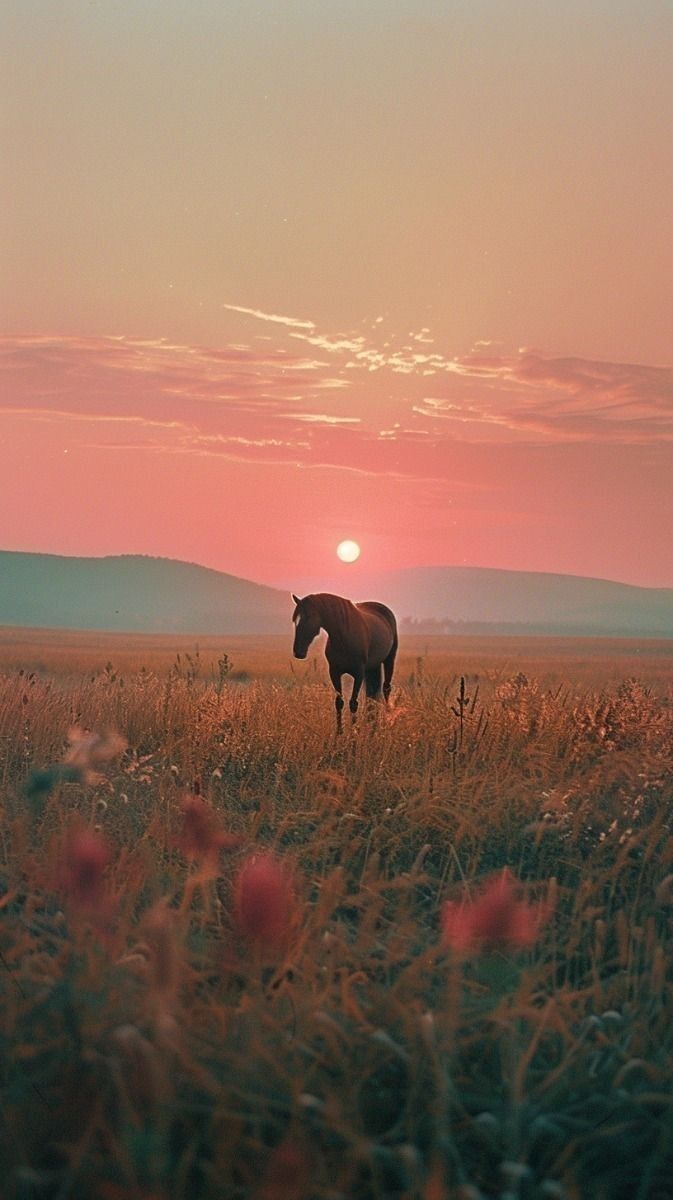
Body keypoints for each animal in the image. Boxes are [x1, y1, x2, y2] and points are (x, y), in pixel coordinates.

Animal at [290, 592, 395, 729]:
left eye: (308, 617)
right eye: (295, 620)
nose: (298, 652)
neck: (344, 636)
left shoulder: (359, 673)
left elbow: (353, 703)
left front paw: (353, 731)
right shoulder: (334, 672)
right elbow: (339, 702)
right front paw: (339, 731)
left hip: (389, 660)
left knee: (386, 689)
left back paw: (386, 720)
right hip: (373, 666)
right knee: (371, 696)